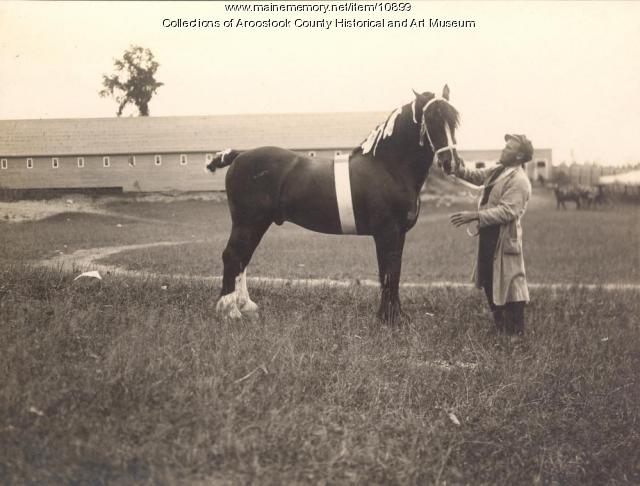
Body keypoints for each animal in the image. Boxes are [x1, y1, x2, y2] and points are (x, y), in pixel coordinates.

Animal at [208, 86, 462, 326]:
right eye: (432, 118)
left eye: (455, 120)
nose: (451, 163)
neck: (388, 167)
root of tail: (238, 156)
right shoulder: (387, 233)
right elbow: (388, 274)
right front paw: (388, 319)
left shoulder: (399, 235)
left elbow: (395, 272)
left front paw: (396, 316)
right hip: (248, 221)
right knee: (233, 256)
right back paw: (230, 311)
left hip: (257, 223)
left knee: (243, 258)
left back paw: (246, 305)